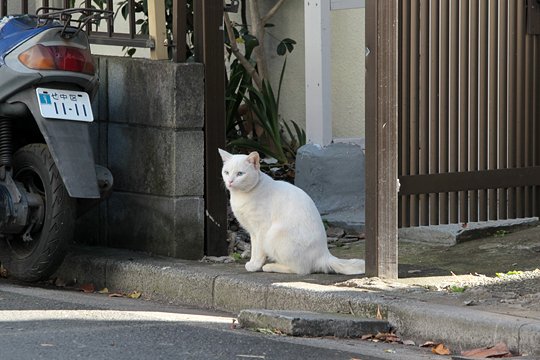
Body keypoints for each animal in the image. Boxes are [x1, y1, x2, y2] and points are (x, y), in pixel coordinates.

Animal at [219, 149, 368, 276]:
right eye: (226, 172)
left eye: (240, 174)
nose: (230, 181)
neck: (241, 195)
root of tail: (324, 255)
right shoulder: (252, 231)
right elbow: (254, 247)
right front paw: (252, 262)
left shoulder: (261, 229)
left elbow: (258, 250)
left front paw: (255, 265)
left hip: (274, 234)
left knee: (301, 270)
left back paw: (271, 266)